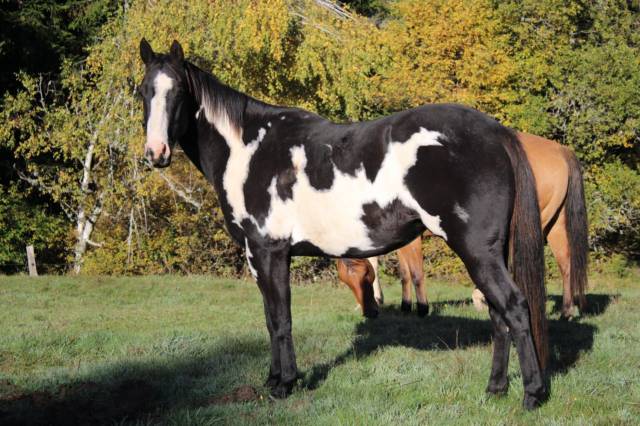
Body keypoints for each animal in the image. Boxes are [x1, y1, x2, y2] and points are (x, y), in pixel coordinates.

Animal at [138, 39, 548, 409]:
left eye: (178, 93)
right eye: (143, 92)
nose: (156, 153)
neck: (249, 152)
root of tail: (496, 132)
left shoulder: (270, 252)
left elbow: (281, 319)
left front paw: (285, 384)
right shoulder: (259, 258)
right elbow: (270, 318)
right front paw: (272, 380)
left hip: (476, 249)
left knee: (514, 307)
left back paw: (531, 395)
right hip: (488, 252)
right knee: (497, 314)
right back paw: (495, 390)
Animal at [338, 132, 588, 319]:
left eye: (364, 277)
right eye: (345, 280)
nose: (367, 311)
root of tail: (560, 150)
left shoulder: (412, 240)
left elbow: (415, 272)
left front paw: (421, 308)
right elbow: (404, 273)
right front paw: (404, 305)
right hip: (554, 223)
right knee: (566, 263)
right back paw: (567, 310)